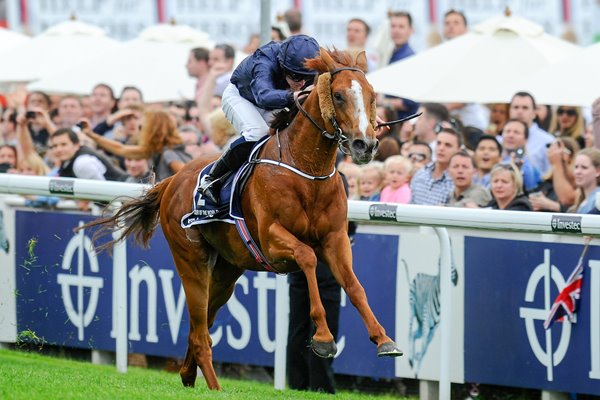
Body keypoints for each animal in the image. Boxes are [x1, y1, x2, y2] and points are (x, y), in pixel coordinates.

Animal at [85, 47, 404, 390]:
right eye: (339, 95)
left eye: (372, 96)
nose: (365, 144)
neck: (308, 170)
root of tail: (172, 181)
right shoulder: (272, 240)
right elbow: (307, 257)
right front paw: (323, 338)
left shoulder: (335, 238)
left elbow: (354, 285)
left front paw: (384, 339)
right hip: (191, 261)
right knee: (200, 332)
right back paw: (214, 387)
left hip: (226, 272)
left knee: (200, 326)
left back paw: (188, 374)